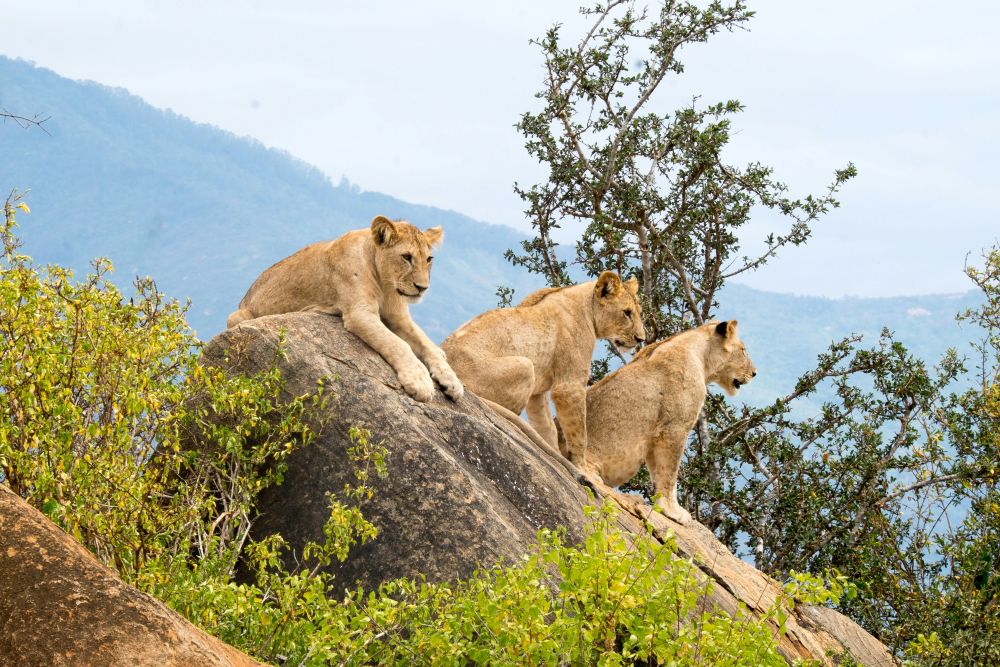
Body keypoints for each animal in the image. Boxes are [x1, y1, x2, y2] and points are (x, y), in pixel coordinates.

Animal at [226, 215, 463, 403]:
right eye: (406, 257)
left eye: (429, 259)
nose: (423, 288)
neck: (385, 284)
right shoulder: (359, 313)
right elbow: (398, 344)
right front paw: (420, 381)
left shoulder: (399, 317)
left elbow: (427, 344)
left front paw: (452, 381)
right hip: (236, 317)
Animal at [441, 272, 645, 472]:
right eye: (627, 313)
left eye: (638, 313)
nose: (640, 339)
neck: (587, 306)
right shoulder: (569, 386)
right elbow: (580, 432)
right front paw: (582, 468)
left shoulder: (538, 393)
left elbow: (547, 427)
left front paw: (555, 454)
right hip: (525, 366)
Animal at [582, 320, 756, 524]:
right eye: (743, 350)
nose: (754, 373)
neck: (701, 358)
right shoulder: (674, 428)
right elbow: (670, 474)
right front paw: (673, 511)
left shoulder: (655, 436)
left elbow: (658, 473)